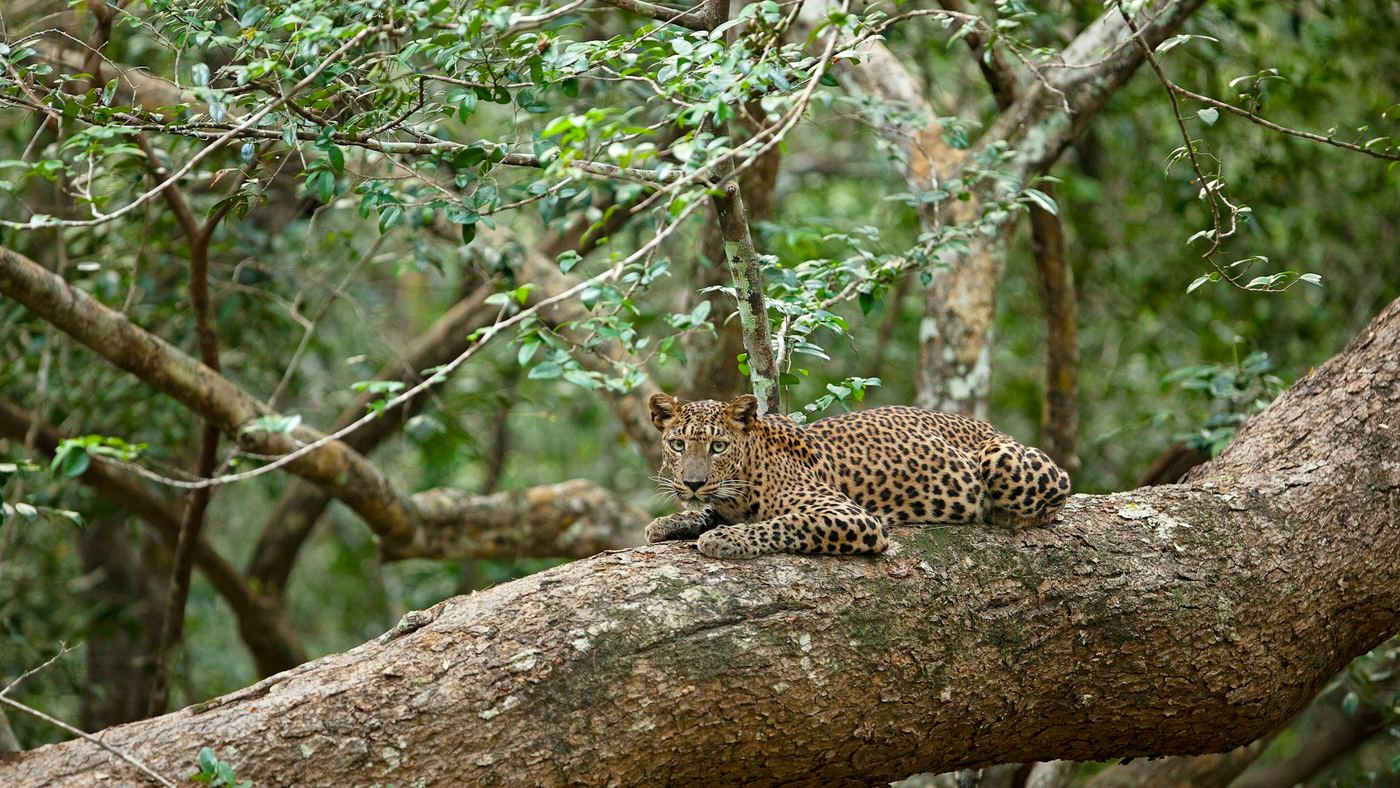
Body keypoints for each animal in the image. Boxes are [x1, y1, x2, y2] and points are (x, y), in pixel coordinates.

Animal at [644, 393, 1071, 559]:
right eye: (678, 444)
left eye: (718, 447)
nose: (693, 483)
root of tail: (989, 426)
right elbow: (703, 511)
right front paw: (668, 523)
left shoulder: (852, 517)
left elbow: (783, 524)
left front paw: (726, 539)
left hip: (1004, 461)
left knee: (1059, 492)